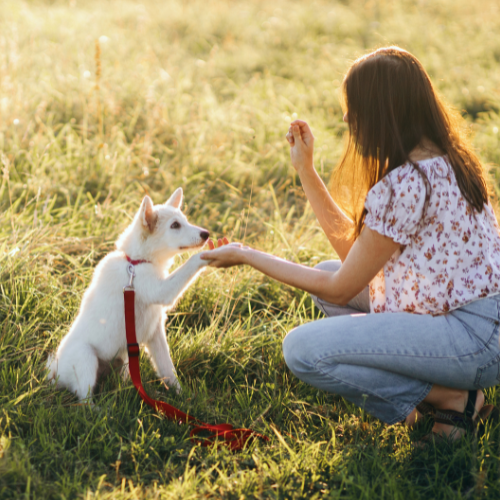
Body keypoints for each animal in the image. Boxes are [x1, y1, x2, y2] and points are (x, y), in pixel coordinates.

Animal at [47, 188, 209, 402]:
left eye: (185, 220)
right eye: (175, 225)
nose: (206, 234)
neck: (135, 262)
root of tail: (55, 372)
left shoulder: (155, 332)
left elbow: (167, 368)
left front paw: (182, 396)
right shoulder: (161, 290)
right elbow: (190, 264)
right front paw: (218, 251)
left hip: (123, 360)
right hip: (86, 357)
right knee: (84, 398)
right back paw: (97, 407)